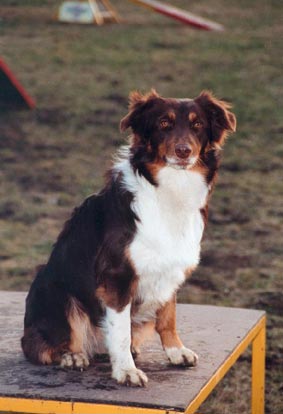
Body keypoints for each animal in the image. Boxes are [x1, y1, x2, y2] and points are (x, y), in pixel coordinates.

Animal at [20, 89, 237, 386]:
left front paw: (175, 351)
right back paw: (72, 355)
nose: (183, 151)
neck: (170, 188)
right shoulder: (117, 276)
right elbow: (120, 330)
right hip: (57, 293)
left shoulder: (169, 267)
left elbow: (168, 316)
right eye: (164, 123)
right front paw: (126, 370)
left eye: (197, 125)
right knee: (46, 344)